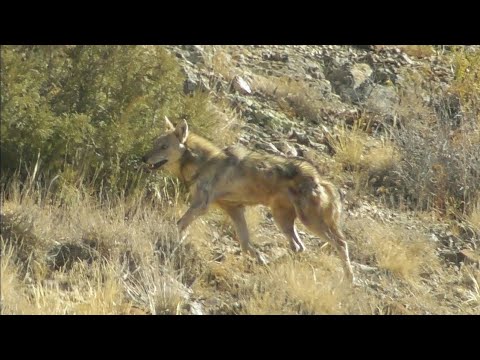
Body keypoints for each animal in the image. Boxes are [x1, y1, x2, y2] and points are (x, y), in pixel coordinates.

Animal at [141, 117, 354, 282]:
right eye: (153, 144)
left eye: (163, 147)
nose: (144, 158)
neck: (203, 163)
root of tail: (321, 179)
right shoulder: (234, 209)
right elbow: (245, 244)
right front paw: (260, 259)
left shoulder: (201, 206)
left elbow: (178, 224)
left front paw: (167, 239)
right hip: (283, 221)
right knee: (299, 247)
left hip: (309, 222)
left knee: (340, 243)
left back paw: (349, 279)